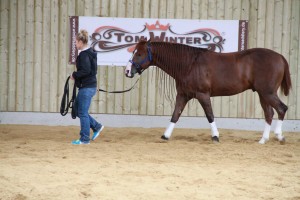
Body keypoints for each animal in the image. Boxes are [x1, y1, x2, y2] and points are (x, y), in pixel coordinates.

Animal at [124, 40, 290, 144]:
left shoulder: (202, 95)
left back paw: (279, 137)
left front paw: (215, 136)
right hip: (263, 94)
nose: (127, 71)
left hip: (267, 93)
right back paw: (263, 140)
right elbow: (175, 115)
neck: (189, 64)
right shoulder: (183, 95)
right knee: (269, 113)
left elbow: (209, 115)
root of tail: (280, 57)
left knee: (282, 109)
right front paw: (165, 135)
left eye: (139, 54)